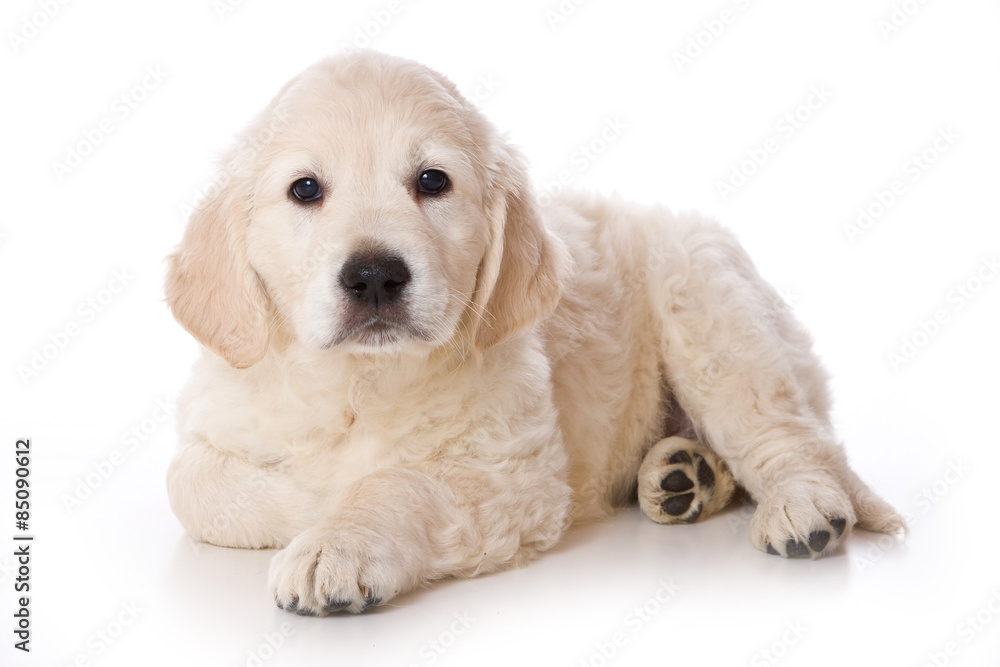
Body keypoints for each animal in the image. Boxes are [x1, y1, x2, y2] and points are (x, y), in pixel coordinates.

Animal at [166, 51, 908, 616]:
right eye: (305, 189)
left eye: (432, 181)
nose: (374, 276)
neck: (359, 379)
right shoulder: (216, 419)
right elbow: (195, 487)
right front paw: (317, 499)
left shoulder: (514, 475)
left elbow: (398, 485)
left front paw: (336, 538)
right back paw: (681, 476)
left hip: (711, 311)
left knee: (788, 438)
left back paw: (800, 508)